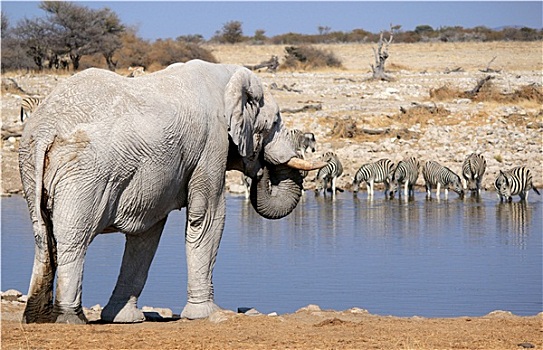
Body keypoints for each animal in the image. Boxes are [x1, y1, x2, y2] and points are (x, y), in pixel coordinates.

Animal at [17, 58, 326, 324]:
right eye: (274, 123)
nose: (261, 170)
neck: (226, 75)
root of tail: (45, 128)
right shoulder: (211, 143)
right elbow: (208, 217)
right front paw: (207, 314)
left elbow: (147, 232)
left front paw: (123, 318)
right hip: (86, 172)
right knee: (74, 239)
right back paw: (70, 319)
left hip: (31, 167)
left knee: (42, 236)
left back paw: (36, 319)